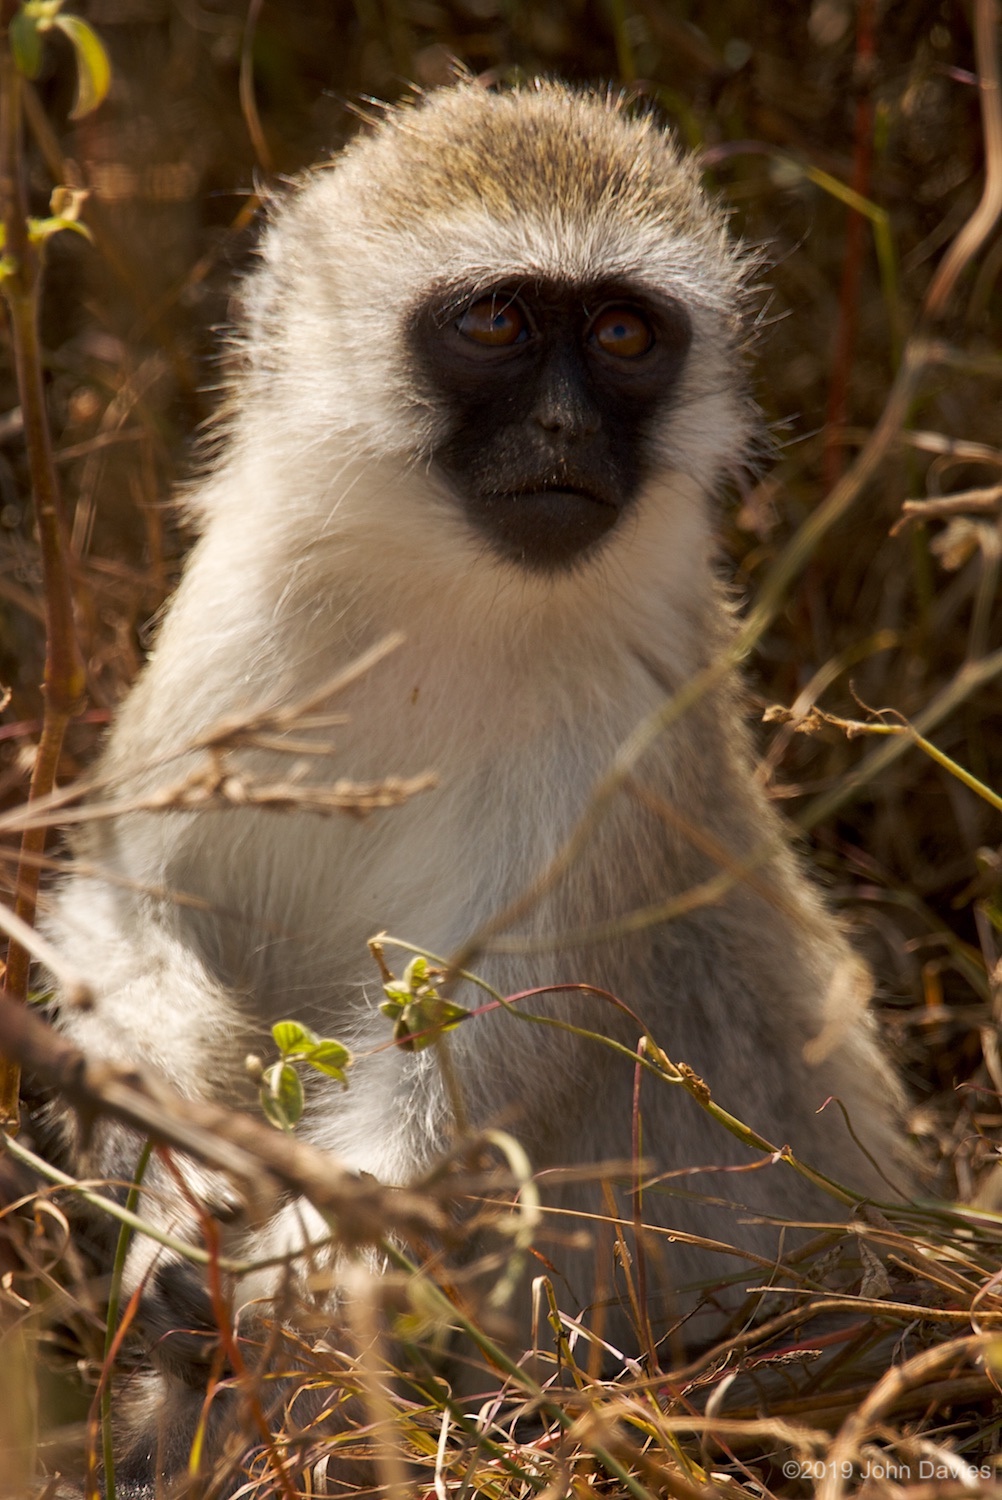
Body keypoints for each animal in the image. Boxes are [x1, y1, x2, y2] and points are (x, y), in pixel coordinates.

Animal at [45, 85, 906, 1500]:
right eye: (497, 322)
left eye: (623, 334)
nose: (563, 433)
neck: (445, 595)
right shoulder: (219, 642)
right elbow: (135, 912)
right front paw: (164, 1169)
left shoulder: (625, 733)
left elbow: (476, 1048)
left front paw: (276, 1273)